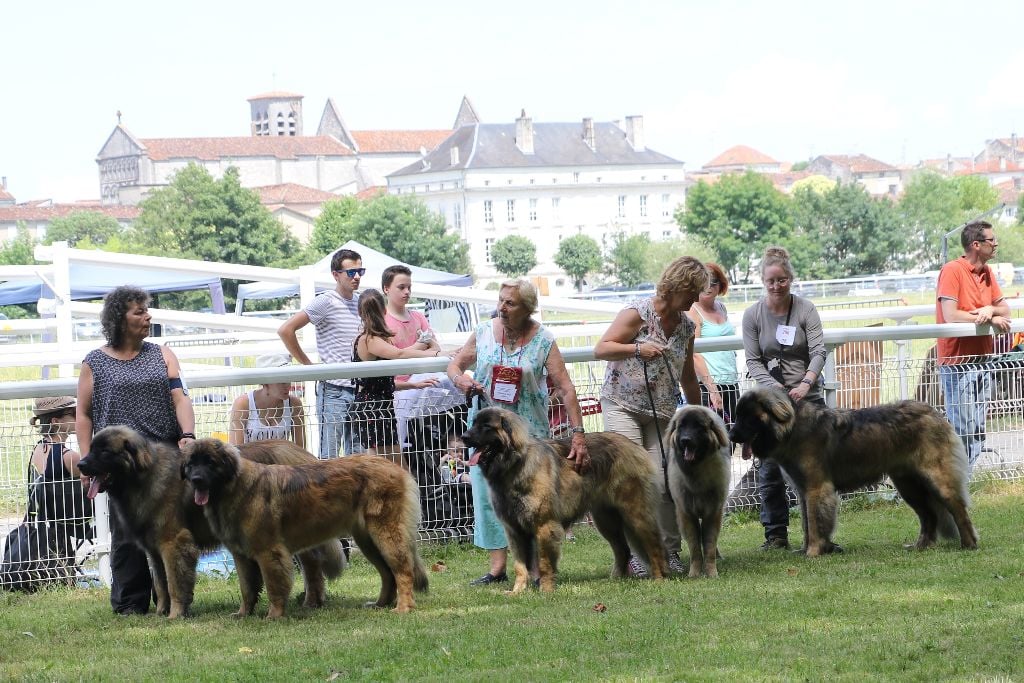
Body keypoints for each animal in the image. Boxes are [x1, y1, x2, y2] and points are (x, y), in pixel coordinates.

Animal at [75, 430, 346, 622]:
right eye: (91, 448)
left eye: (104, 451)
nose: (80, 465)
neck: (144, 476)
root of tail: (300, 452)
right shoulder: (154, 549)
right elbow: (160, 585)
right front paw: (160, 613)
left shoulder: (174, 542)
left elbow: (174, 583)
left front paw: (176, 614)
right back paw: (313, 600)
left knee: (311, 564)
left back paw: (311, 600)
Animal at [182, 438, 425, 618]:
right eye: (191, 463)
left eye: (210, 463)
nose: (196, 480)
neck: (234, 487)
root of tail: (395, 467)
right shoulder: (241, 555)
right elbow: (247, 588)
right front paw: (243, 614)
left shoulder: (269, 552)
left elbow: (274, 586)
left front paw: (274, 615)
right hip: (368, 541)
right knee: (387, 573)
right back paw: (380, 604)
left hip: (386, 534)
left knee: (403, 570)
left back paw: (403, 607)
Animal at [460, 409, 667, 593]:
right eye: (473, 423)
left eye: (486, 426)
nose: (463, 437)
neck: (514, 465)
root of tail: (635, 446)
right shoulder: (514, 530)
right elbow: (520, 566)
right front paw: (517, 591)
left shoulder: (544, 525)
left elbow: (543, 563)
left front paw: (546, 590)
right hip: (605, 520)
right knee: (623, 549)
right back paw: (615, 580)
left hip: (635, 513)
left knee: (654, 545)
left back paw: (658, 579)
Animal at [659, 409, 733, 581]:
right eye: (682, 426)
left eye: (699, 426)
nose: (686, 440)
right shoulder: (687, 515)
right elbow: (695, 549)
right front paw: (694, 573)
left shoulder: (712, 513)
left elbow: (709, 546)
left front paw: (711, 572)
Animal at [729, 387, 974, 557]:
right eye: (738, 415)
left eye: (747, 417)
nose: (731, 436)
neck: (791, 429)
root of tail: (934, 412)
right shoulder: (803, 491)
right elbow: (807, 524)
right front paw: (808, 549)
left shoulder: (816, 489)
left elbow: (815, 523)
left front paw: (814, 552)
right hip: (909, 486)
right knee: (929, 516)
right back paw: (921, 545)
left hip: (936, 479)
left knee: (958, 509)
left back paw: (969, 544)